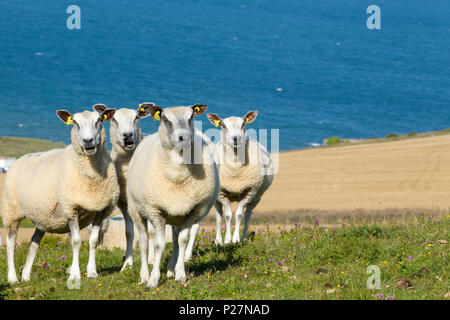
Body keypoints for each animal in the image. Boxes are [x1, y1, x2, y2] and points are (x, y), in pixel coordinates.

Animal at [0, 106, 119, 284]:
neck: (93, 178)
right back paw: (13, 278)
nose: (88, 141)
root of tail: (21, 158)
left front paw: (92, 272)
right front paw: (75, 274)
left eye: (99, 120)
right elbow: (76, 241)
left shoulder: (101, 210)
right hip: (11, 211)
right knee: (11, 244)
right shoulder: (70, 208)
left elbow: (93, 241)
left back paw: (26, 275)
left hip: (42, 216)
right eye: (75, 122)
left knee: (34, 242)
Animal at [91, 102, 155, 270]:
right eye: (114, 119)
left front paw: (152, 260)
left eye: (136, 117)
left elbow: (152, 232)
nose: (128, 135)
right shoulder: (123, 203)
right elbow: (129, 232)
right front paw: (127, 263)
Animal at [126, 103, 220, 288]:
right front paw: (153, 280)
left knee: (176, 240)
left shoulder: (193, 211)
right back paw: (144, 275)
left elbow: (182, 241)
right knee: (144, 241)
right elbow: (159, 245)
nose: (184, 137)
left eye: (191, 116)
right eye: (164, 118)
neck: (179, 174)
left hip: (177, 214)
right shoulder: (156, 211)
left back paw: (170, 270)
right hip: (137, 210)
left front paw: (180, 274)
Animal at [207, 111, 274, 244]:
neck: (234, 169)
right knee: (218, 215)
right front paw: (227, 239)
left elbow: (238, 215)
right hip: (215, 197)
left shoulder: (249, 191)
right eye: (223, 125)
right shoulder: (222, 193)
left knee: (247, 215)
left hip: (257, 197)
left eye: (243, 124)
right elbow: (227, 216)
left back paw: (243, 238)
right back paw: (218, 240)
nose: (236, 138)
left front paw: (236, 239)